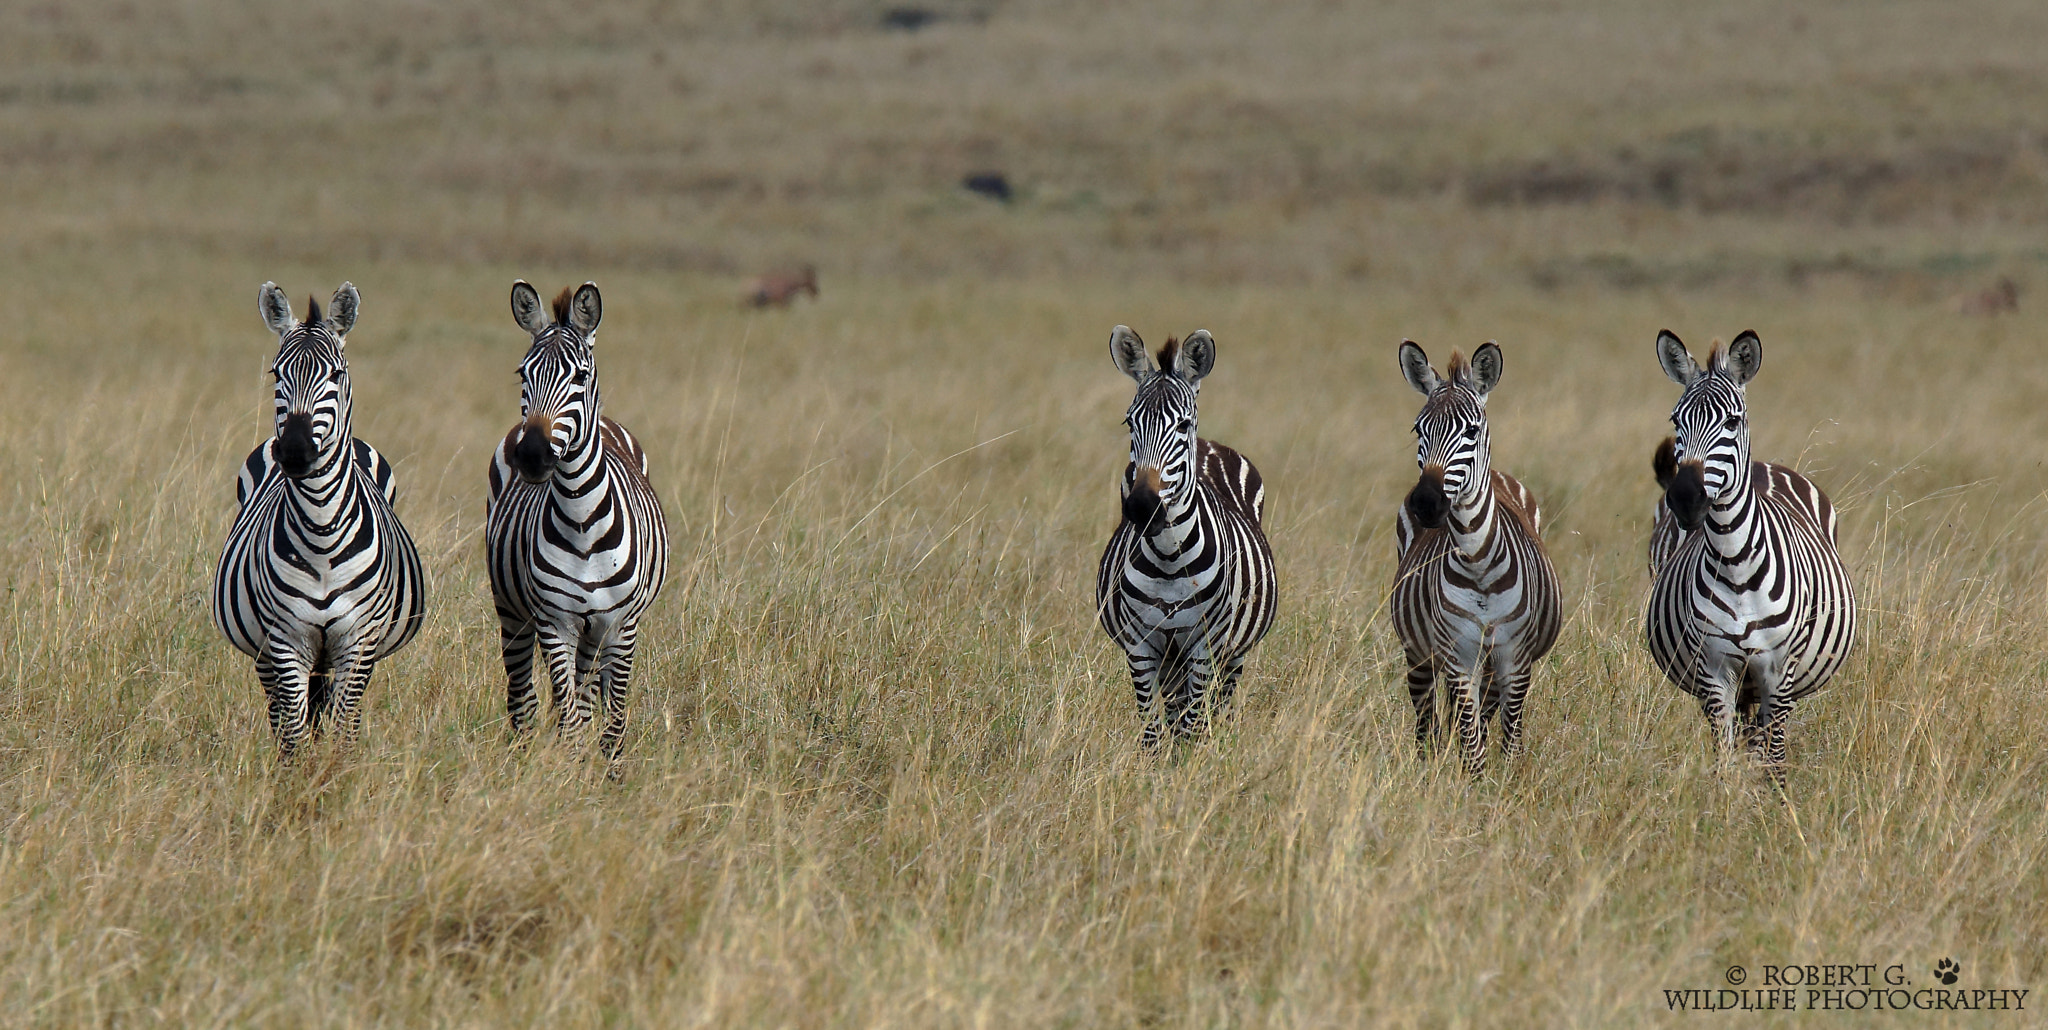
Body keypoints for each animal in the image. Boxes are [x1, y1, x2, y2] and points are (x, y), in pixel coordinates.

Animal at [211, 282, 423, 757]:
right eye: (276, 374)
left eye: (336, 375)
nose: (294, 451)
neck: (321, 532)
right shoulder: (285, 641)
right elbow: (293, 736)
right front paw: (300, 778)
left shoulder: (357, 642)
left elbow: (342, 733)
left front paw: (335, 776)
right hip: (266, 651)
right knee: (282, 716)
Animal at [483, 278, 667, 761]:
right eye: (522, 374)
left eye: (580, 377)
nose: (531, 455)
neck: (583, 522)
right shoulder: (555, 622)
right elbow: (567, 717)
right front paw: (568, 770)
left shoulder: (621, 626)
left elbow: (613, 719)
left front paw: (610, 772)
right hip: (512, 609)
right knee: (524, 697)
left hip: (595, 631)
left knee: (587, 697)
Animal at [1097, 325, 1269, 745]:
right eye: (1129, 423)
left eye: (1183, 425)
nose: (1142, 507)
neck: (1168, 560)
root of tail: (1209, 446)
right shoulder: (1140, 646)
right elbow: (1152, 732)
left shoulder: (1204, 647)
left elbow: (1191, 727)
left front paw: (1190, 762)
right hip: (1171, 659)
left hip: (1230, 651)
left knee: (1216, 707)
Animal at [1392, 341, 1564, 778]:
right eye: (1418, 429)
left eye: (1471, 430)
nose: (1426, 503)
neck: (1478, 565)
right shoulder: (1459, 654)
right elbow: (1470, 742)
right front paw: (1473, 786)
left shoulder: (1514, 659)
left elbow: (1510, 738)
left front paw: (1509, 785)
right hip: (1419, 654)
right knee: (1427, 724)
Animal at [1646, 331, 1859, 782]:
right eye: (1675, 421)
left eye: (1732, 421)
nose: (1685, 498)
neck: (1735, 564)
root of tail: (1764, 464)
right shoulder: (1714, 670)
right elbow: (1725, 760)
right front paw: (1727, 800)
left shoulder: (1778, 672)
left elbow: (1774, 761)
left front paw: (1774, 801)